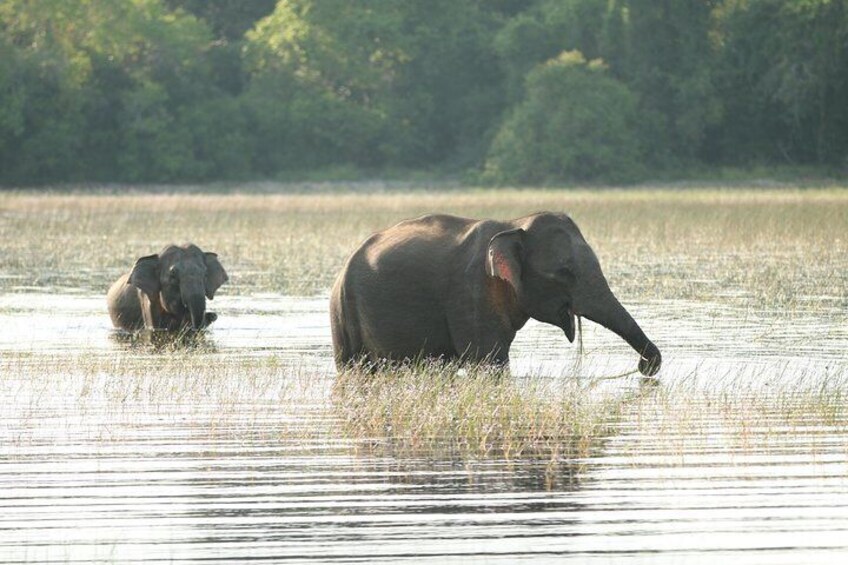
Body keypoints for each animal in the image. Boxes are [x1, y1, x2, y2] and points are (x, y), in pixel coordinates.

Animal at [328, 212, 660, 374]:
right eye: (565, 273)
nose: (645, 366)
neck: (514, 225)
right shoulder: (472, 291)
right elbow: (489, 360)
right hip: (343, 314)